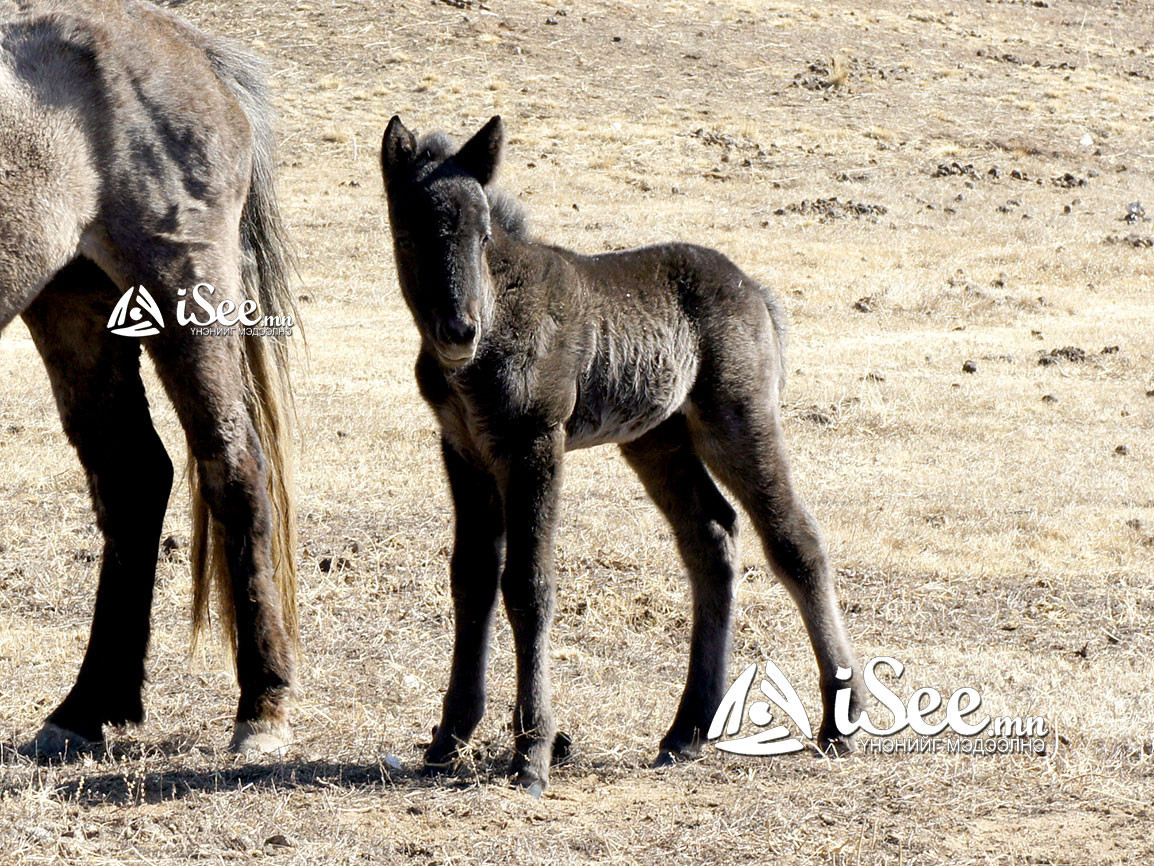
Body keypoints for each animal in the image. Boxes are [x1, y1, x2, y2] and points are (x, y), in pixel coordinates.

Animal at [1, 0, 297, 757]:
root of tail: (187, 44)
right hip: (73, 300)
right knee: (134, 475)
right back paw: (84, 708)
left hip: (182, 285)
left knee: (232, 463)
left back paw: (263, 706)